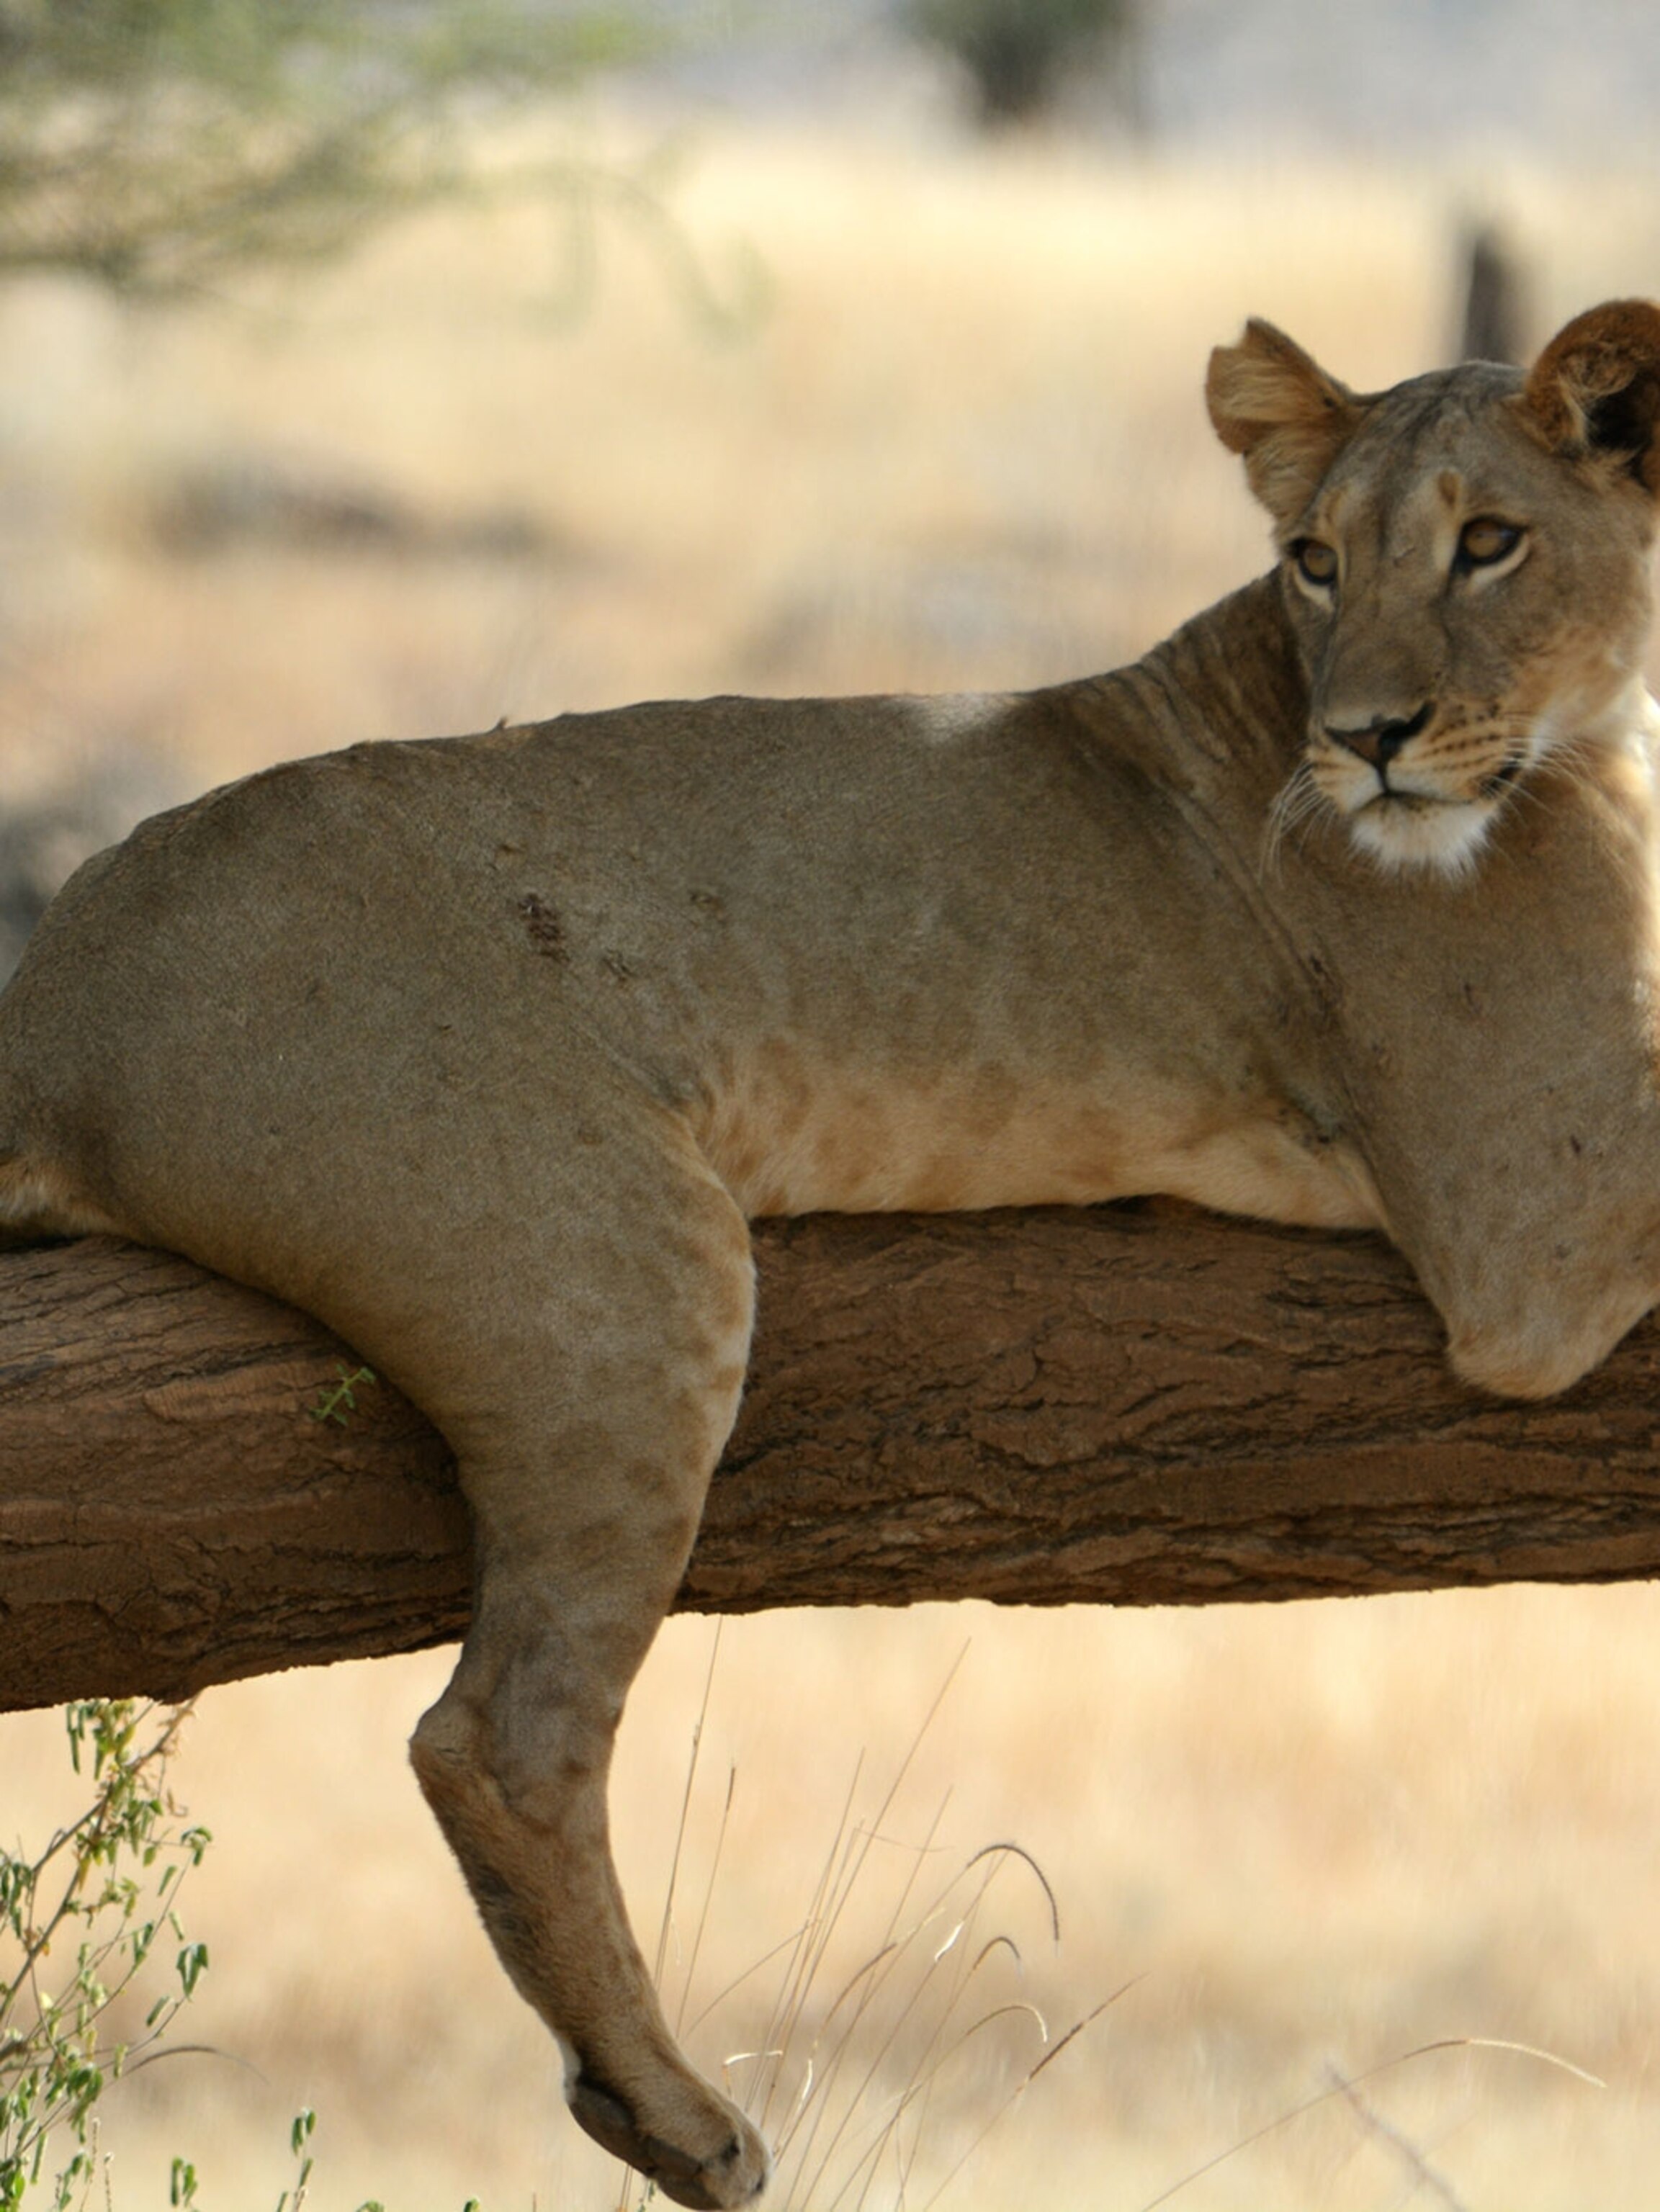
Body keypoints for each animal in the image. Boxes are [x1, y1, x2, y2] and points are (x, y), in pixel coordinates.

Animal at [5, 299, 1660, 2206]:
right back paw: (670, 2110)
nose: (1369, 739)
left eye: (1490, 541)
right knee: (496, 1734)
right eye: (1316, 559)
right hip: (611, 1254)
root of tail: (49, 988)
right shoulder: (1526, 1232)